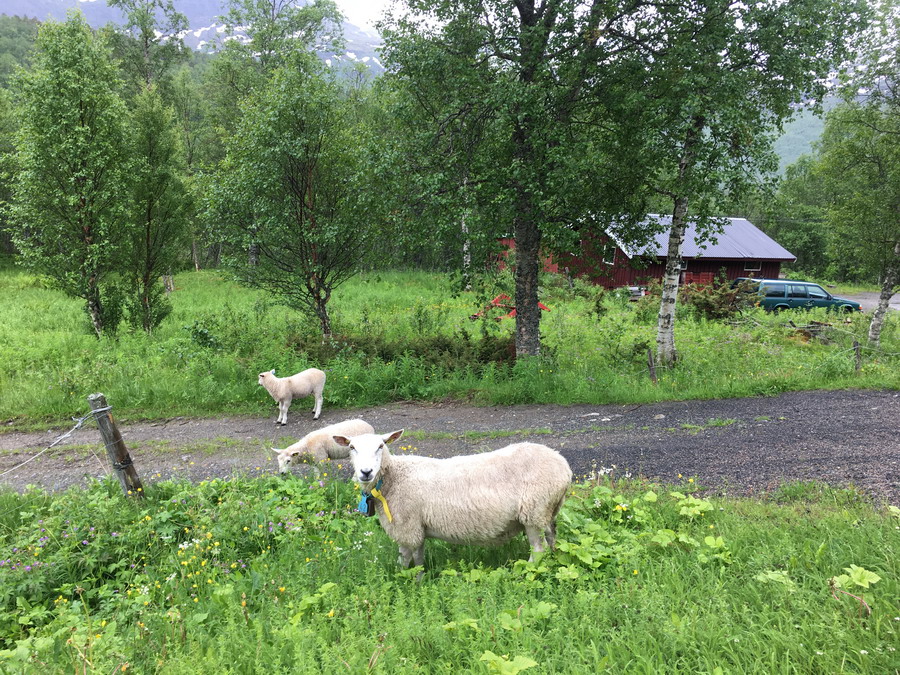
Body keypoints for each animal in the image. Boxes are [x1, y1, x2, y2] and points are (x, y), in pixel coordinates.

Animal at [334, 434, 572, 572]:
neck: (394, 477)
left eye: (381, 446)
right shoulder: (414, 527)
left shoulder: (408, 526)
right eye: (352, 447)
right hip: (548, 510)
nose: (366, 472)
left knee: (538, 550)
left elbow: (407, 559)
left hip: (533, 512)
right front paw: (415, 580)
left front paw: (408, 582)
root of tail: (564, 465)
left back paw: (522, 573)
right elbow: (414, 558)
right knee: (551, 540)